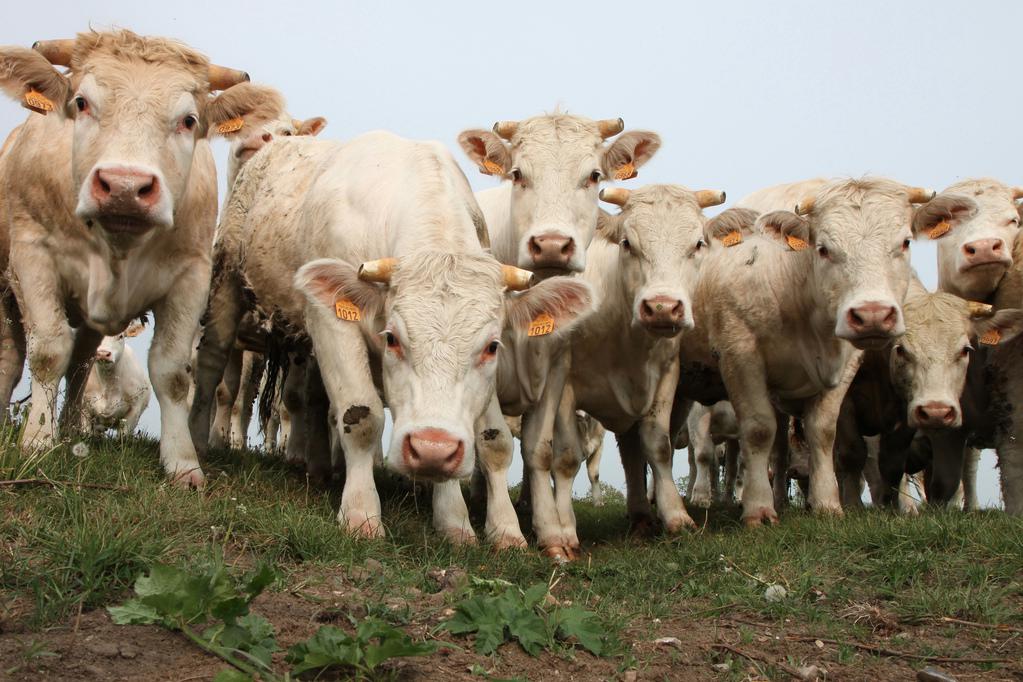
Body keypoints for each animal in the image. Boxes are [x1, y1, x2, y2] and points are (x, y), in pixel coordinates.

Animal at [0, 30, 275, 485]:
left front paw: (183, 463)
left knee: (81, 364)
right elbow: (47, 351)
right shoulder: (32, 255)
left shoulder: (191, 276)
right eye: (81, 103)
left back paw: (72, 428)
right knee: (12, 357)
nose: (124, 187)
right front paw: (37, 441)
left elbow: (172, 372)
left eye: (188, 120)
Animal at [188, 130, 593, 541]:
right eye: (393, 338)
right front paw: (361, 513)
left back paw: (316, 467)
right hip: (227, 283)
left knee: (312, 398)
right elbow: (360, 416)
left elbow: (493, 438)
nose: (432, 449)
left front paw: (462, 521)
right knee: (211, 366)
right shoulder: (332, 321)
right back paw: (197, 444)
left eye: (492, 347)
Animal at [457, 113, 659, 555]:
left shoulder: (557, 368)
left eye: (594, 175)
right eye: (518, 173)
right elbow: (494, 445)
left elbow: (541, 449)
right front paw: (505, 530)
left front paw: (552, 532)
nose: (551, 245)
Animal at [548, 184, 727, 555]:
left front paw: (676, 516)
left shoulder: (666, 379)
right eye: (628, 243)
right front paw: (564, 529)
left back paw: (643, 517)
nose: (662, 308)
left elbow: (658, 447)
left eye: (698, 244)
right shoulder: (563, 384)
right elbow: (567, 457)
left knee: (633, 452)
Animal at [675, 178, 951, 525]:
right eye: (823, 248)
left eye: (905, 242)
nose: (872, 314)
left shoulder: (845, 367)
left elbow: (823, 431)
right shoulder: (739, 354)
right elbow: (757, 430)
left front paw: (826, 503)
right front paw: (758, 508)